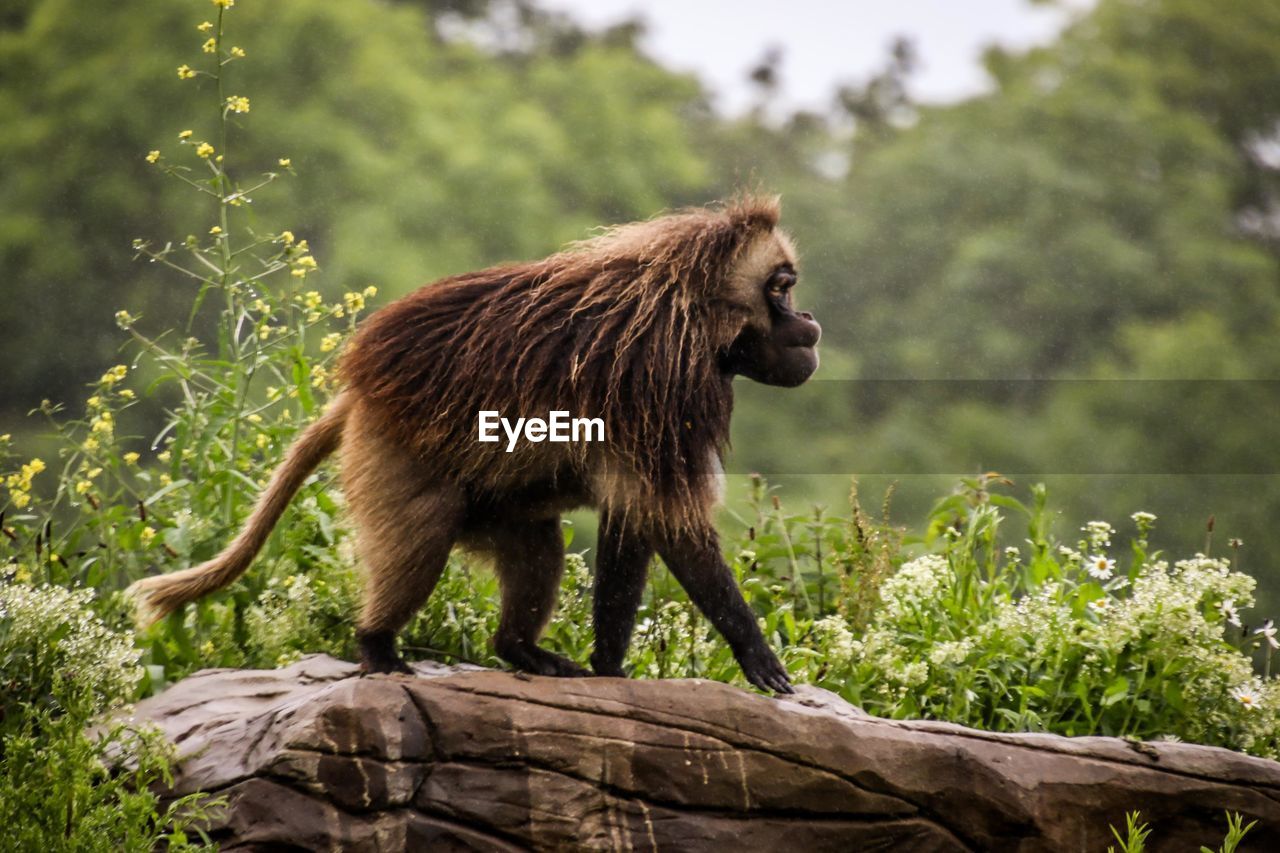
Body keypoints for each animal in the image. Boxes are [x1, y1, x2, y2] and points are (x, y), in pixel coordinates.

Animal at [129, 195, 819, 696]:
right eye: (780, 287)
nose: (810, 323)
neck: (692, 310)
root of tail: (360, 393)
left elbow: (634, 518)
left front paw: (608, 668)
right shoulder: (665, 381)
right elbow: (670, 520)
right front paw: (757, 657)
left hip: (494, 508)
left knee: (537, 545)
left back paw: (521, 651)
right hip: (394, 453)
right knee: (421, 536)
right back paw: (377, 648)